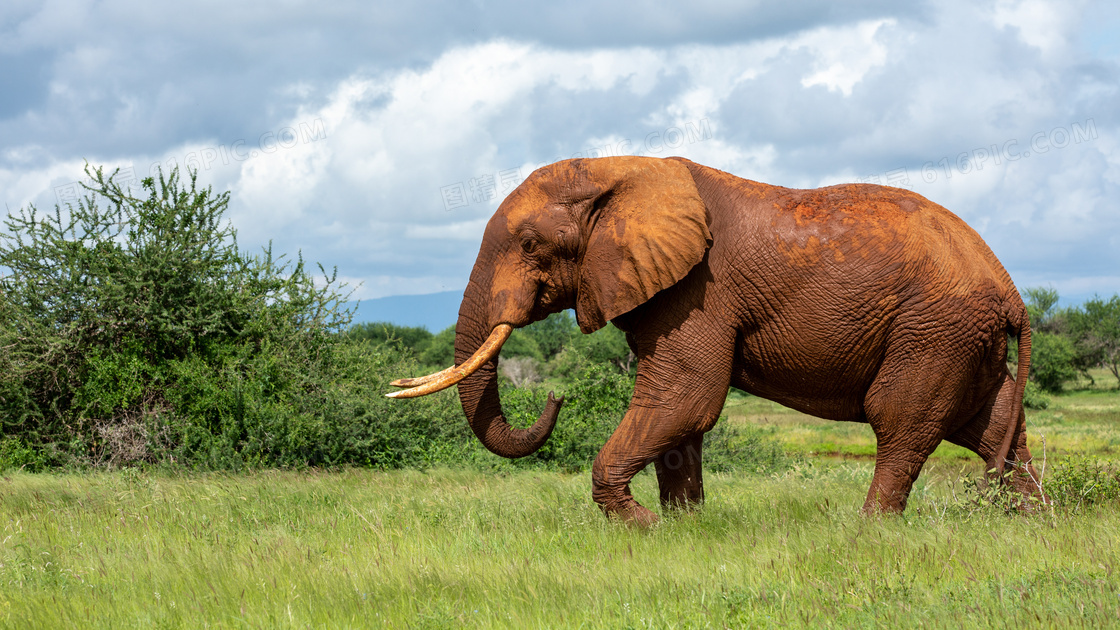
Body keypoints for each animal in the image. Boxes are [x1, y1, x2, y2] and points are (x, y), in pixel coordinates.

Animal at [389, 154, 1043, 522]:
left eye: (529, 246)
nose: (556, 397)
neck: (616, 170)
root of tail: (1011, 288)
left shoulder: (697, 290)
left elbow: (686, 397)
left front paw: (644, 527)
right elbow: (682, 415)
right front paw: (685, 529)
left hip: (933, 328)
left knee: (901, 421)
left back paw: (869, 530)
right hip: (961, 338)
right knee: (992, 426)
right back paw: (1030, 521)